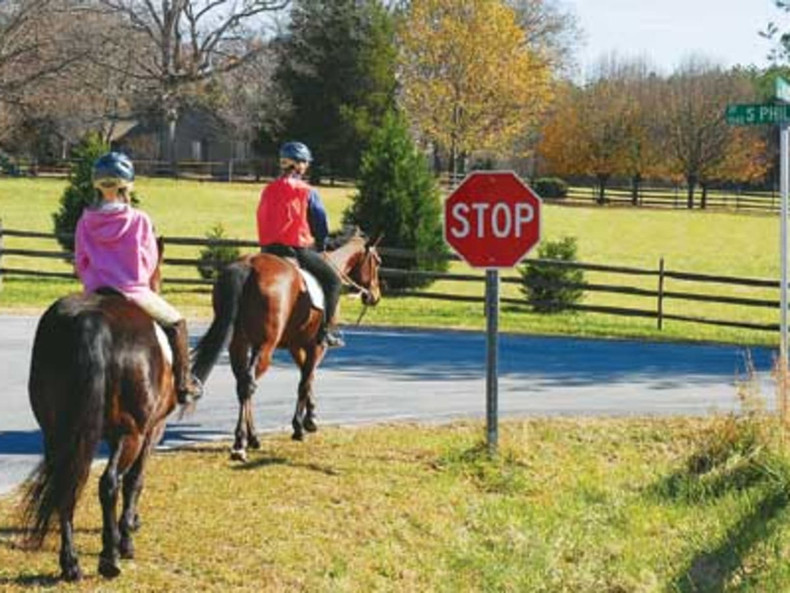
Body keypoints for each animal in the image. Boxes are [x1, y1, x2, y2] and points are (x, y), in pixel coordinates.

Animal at [21, 238, 179, 580]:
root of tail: (91, 322)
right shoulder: (151, 432)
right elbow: (135, 481)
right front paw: (127, 537)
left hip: (57, 432)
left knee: (66, 482)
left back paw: (70, 563)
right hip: (131, 434)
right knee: (109, 483)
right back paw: (110, 558)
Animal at [189, 227, 380, 458]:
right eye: (378, 262)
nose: (375, 296)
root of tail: (249, 265)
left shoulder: (295, 345)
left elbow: (308, 376)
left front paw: (310, 417)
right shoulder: (317, 346)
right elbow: (305, 381)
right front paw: (300, 426)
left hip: (239, 344)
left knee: (242, 383)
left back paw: (251, 437)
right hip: (265, 347)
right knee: (248, 384)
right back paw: (241, 442)